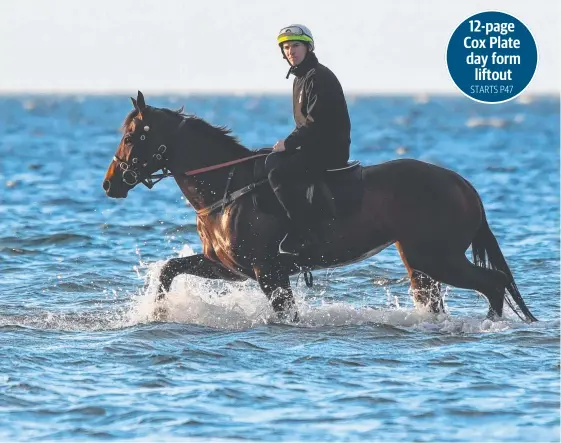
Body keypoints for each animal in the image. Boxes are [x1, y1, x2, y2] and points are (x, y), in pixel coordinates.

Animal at [101, 92, 540, 324]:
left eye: (132, 136)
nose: (109, 183)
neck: (227, 186)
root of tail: (463, 185)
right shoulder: (229, 268)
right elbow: (168, 269)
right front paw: (157, 312)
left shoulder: (267, 271)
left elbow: (287, 314)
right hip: (420, 262)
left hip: (440, 258)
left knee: (493, 284)